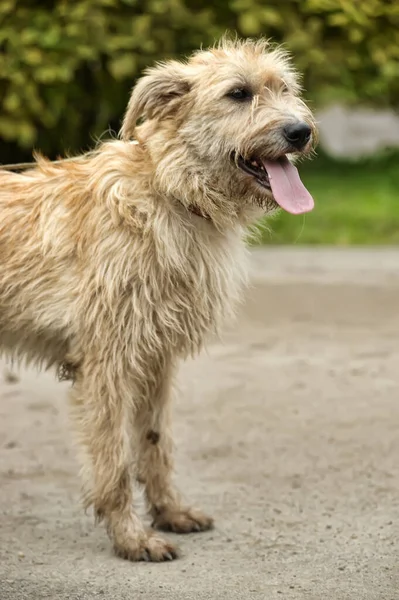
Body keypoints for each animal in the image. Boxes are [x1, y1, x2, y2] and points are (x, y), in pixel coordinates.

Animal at [0, 37, 318, 564]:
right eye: (237, 93)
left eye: (285, 89)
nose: (301, 131)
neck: (170, 192)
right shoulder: (105, 363)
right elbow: (113, 461)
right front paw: (131, 538)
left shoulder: (154, 357)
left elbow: (154, 442)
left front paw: (170, 511)